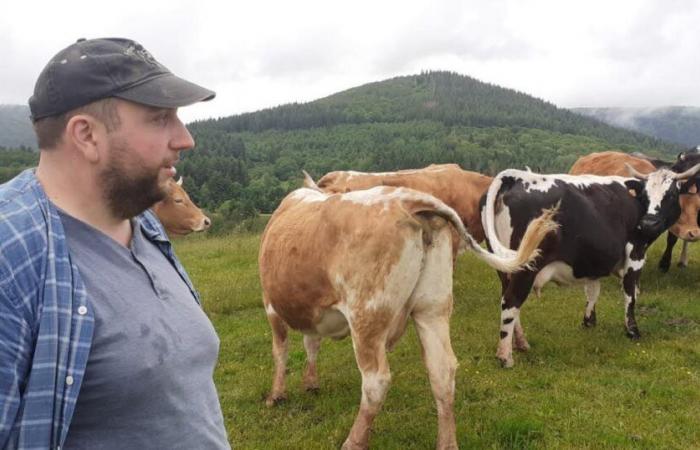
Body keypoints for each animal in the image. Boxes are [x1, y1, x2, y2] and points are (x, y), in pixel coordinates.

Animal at [258, 184, 556, 450]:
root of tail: (408, 199)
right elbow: (311, 343)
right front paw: (310, 383)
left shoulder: (271, 306)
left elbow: (280, 350)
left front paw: (277, 394)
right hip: (432, 309)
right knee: (442, 372)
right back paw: (447, 444)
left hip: (367, 317)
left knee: (376, 381)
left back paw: (353, 442)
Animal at [482, 163, 700, 368]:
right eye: (645, 196)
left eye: (671, 194)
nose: (648, 223)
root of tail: (517, 176)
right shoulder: (635, 252)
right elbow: (630, 293)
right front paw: (632, 331)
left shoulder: (593, 259)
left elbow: (593, 290)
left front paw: (589, 321)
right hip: (527, 266)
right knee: (511, 300)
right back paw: (505, 356)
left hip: (505, 266)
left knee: (508, 299)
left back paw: (521, 343)